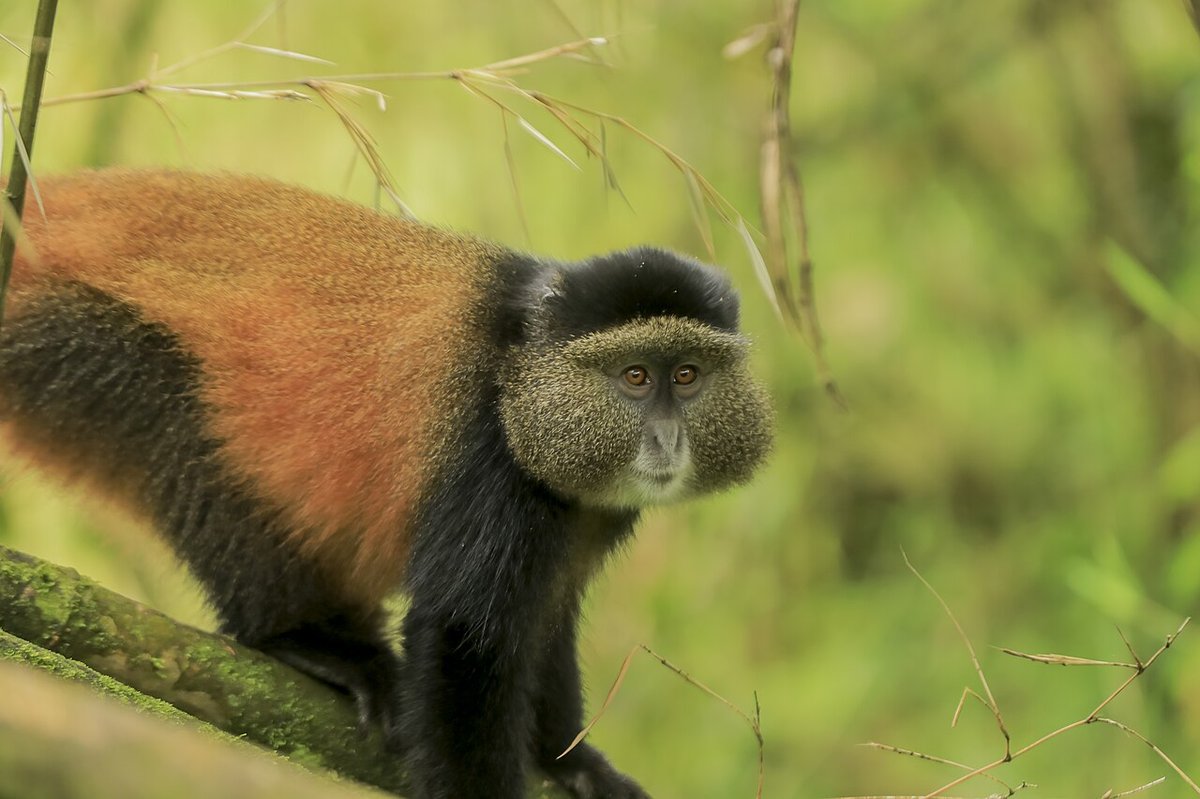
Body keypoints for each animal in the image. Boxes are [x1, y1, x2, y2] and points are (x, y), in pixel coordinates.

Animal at [0, 169, 773, 799]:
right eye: (634, 377)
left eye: (687, 375)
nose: (666, 439)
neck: (522, 372)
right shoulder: (490, 463)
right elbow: (467, 640)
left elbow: (545, 618)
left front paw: (573, 763)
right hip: (79, 345)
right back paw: (308, 639)